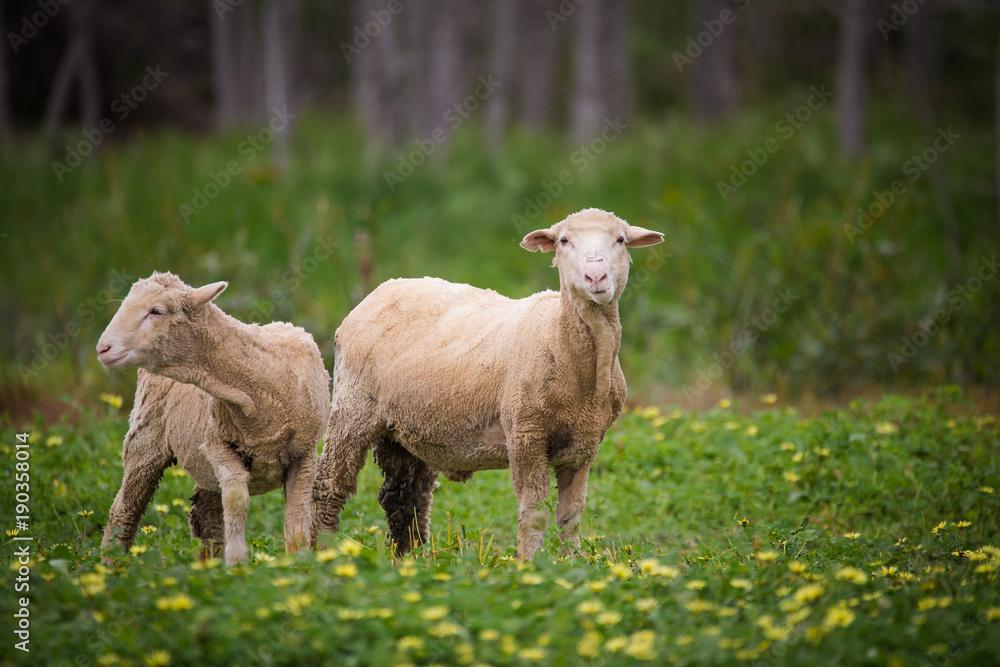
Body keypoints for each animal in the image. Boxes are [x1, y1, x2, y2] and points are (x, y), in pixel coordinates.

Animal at [96, 272, 331, 565]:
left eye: (157, 311)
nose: (103, 348)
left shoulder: (304, 454)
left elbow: (296, 522)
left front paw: (299, 564)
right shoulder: (218, 445)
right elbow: (236, 500)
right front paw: (238, 563)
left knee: (203, 514)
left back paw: (207, 564)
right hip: (145, 438)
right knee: (124, 509)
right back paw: (110, 565)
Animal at [312, 208, 663, 560]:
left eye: (621, 240)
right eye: (564, 240)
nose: (596, 277)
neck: (559, 337)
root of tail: (382, 290)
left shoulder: (585, 445)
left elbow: (571, 516)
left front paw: (571, 563)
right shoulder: (525, 434)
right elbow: (534, 514)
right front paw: (531, 564)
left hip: (409, 428)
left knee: (404, 496)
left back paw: (412, 559)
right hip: (353, 409)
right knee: (329, 488)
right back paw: (320, 553)